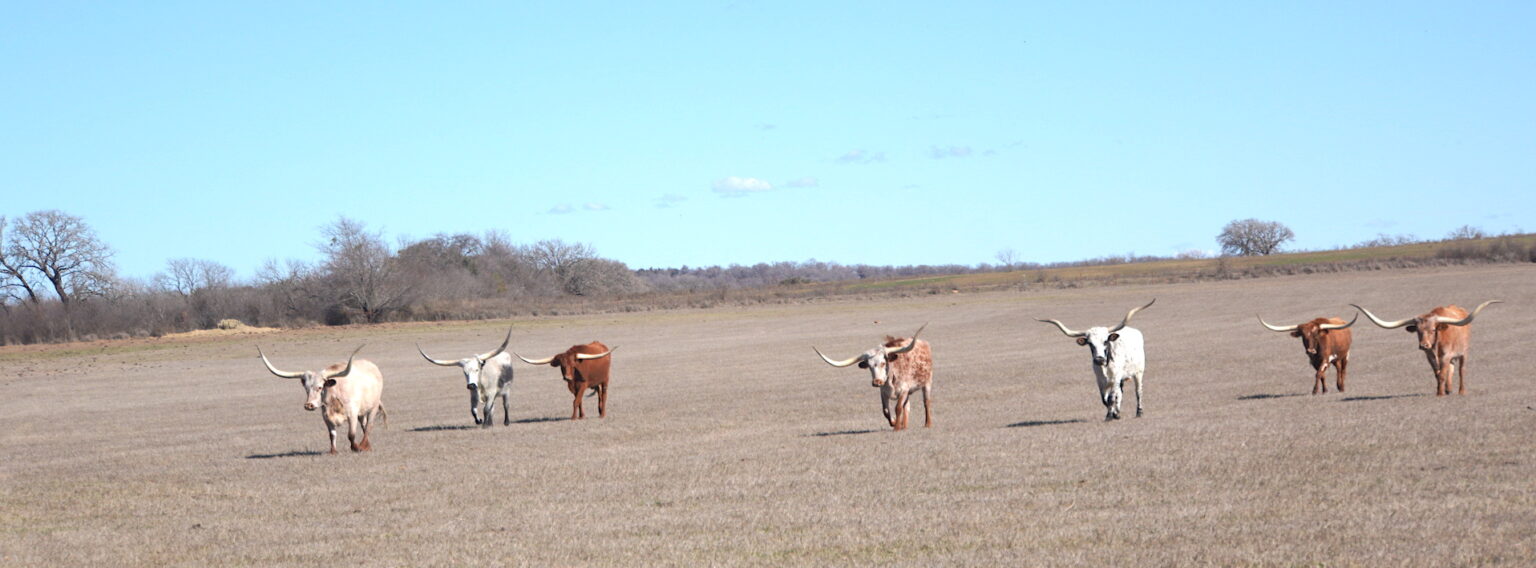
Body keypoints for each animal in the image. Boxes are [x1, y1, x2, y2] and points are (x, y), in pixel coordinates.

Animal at [257, 345, 386, 454]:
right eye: (306, 388)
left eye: (320, 387)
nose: (309, 405)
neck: (334, 394)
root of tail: (373, 367)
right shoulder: (326, 417)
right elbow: (332, 434)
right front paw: (333, 451)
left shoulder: (352, 414)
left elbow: (351, 434)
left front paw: (356, 448)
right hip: (362, 412)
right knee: (364, 425)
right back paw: (368, 446)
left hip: (373, 407)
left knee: (368, 426)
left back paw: (364, 445)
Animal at [1350, 300, 1501, 396]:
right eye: (1418, 330)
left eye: (1433, 330)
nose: (1424, 345)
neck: (1436, 346)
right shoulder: (1430, 357)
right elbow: (1438, 374)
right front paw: (1441, 391)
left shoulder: (1445, 356)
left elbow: (1443, 374)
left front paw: (1440, 394)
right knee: (1451, 370)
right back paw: (1449, 389)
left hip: (1464, 352)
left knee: (1461, 371)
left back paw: (1461, 391)